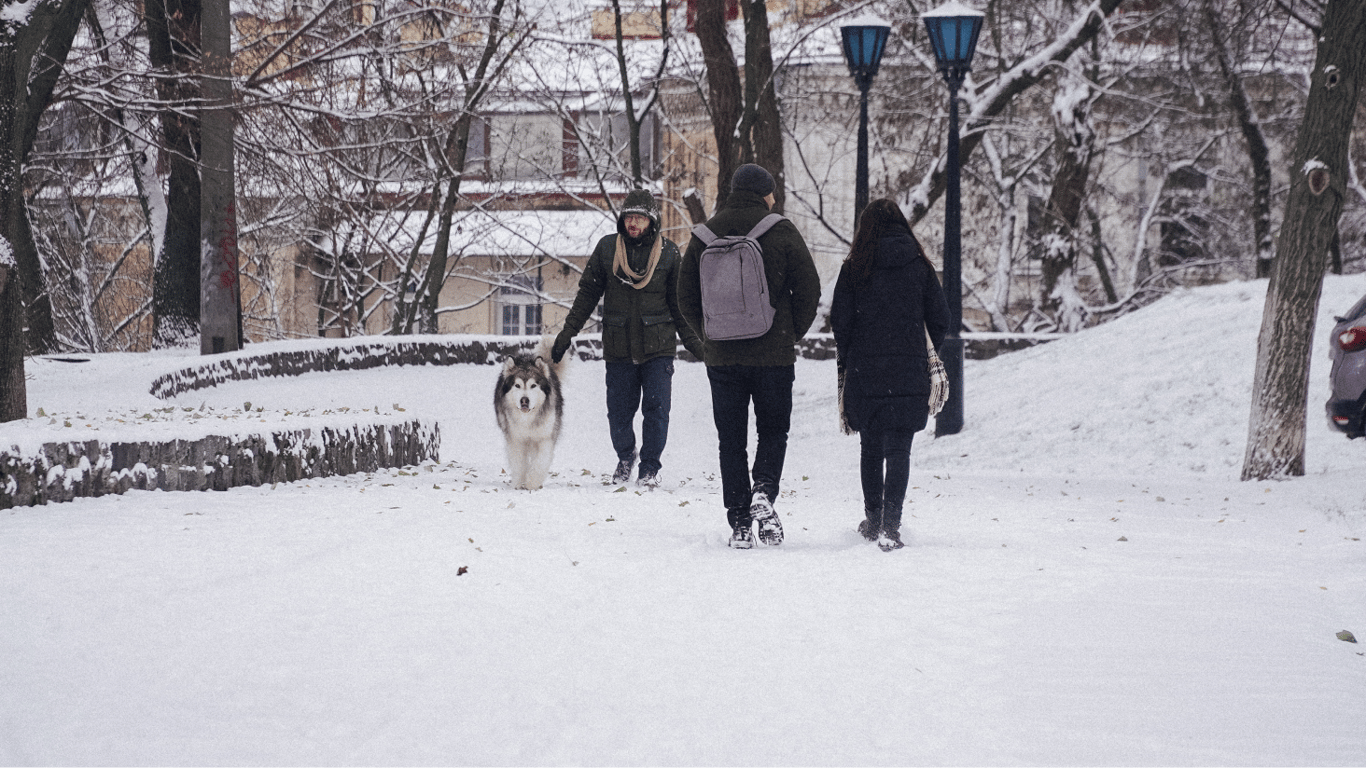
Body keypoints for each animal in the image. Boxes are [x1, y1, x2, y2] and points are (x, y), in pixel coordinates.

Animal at [491, 336, 565, 489]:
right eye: (517, 385)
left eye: (533, 385)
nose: (524, 400)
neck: (528, 419)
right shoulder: (516, 439)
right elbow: (519, 463)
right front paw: (519, 483)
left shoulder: (545, 438)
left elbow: (540, 462)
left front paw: (532, 483)